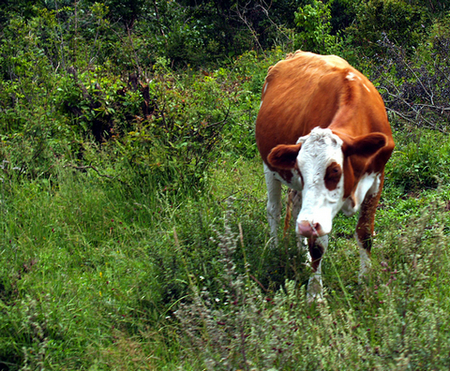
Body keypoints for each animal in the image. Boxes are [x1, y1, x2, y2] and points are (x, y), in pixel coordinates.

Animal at [255, 51, 396, 302]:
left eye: (335, 170)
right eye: (300, 169)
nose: (305, 226)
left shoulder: (378, 177)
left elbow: (365, 233)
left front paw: (366, 282)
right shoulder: (314, 216)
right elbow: (318, 245)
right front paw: (315, 294)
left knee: (295, 206)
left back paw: (302, 257)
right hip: (268, 166)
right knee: (275, 210)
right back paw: (275, 248)